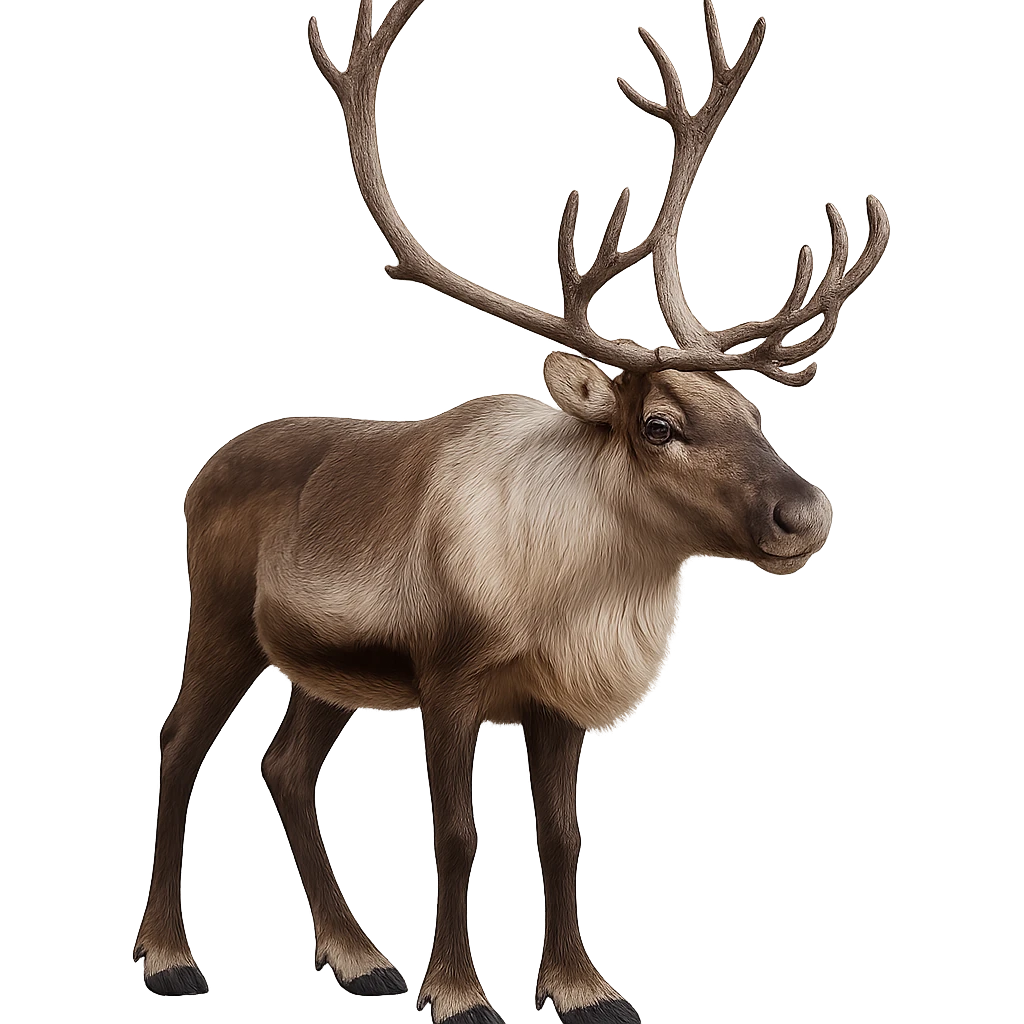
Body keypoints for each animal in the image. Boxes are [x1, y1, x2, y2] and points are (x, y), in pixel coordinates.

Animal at [135, 1, 889, 1019]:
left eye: (756, 414)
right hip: (220, 620)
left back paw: (360, 959)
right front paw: (457, 992)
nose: (806, 515)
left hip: (323, 667)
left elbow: (563, 837)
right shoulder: (447, 676)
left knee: (285, 767)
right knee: (178, 748)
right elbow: (457, 832)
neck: (571, 593)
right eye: (659, 424)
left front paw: (581, 987)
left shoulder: (552, 696)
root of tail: (202, 472)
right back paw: (168, 956)